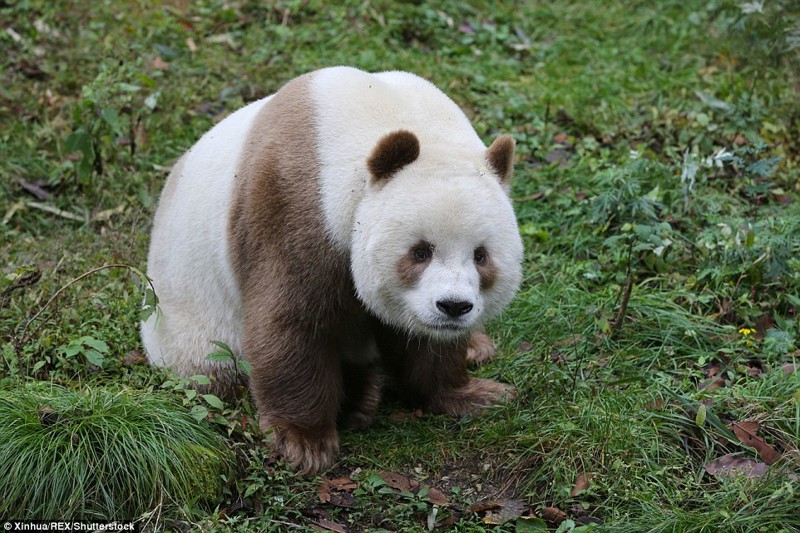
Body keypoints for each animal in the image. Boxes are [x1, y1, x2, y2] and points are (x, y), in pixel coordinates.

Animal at [143, 65, 524, 470]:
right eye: (420, 252)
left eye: (481, 255)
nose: (453, 307)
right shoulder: (294, 204)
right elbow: (293, 321)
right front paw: (305, 442)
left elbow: (424, 344)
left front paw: (475, 393)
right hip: (191, 324)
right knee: (213, 366)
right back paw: (361, 398)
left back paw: (475, 347)